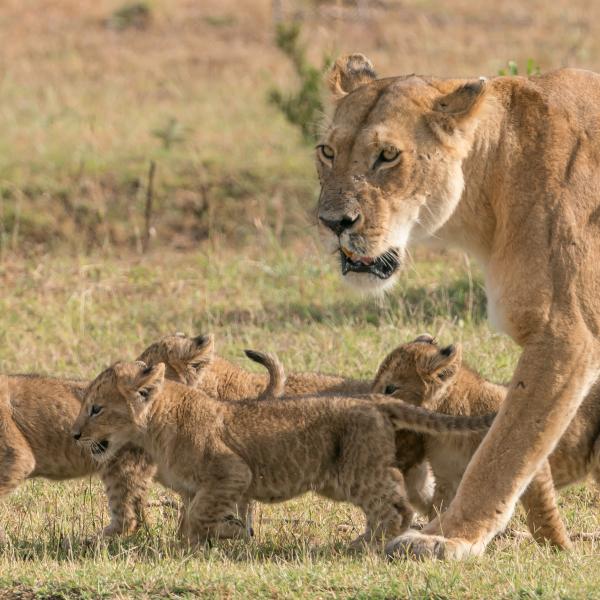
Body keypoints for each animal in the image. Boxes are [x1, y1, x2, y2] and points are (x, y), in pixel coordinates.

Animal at [316, 54, 600, 560]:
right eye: (327, 152)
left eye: (388, 155)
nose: (332, 223)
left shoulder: (566, 335)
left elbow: (504, 450)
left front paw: (449, 537)